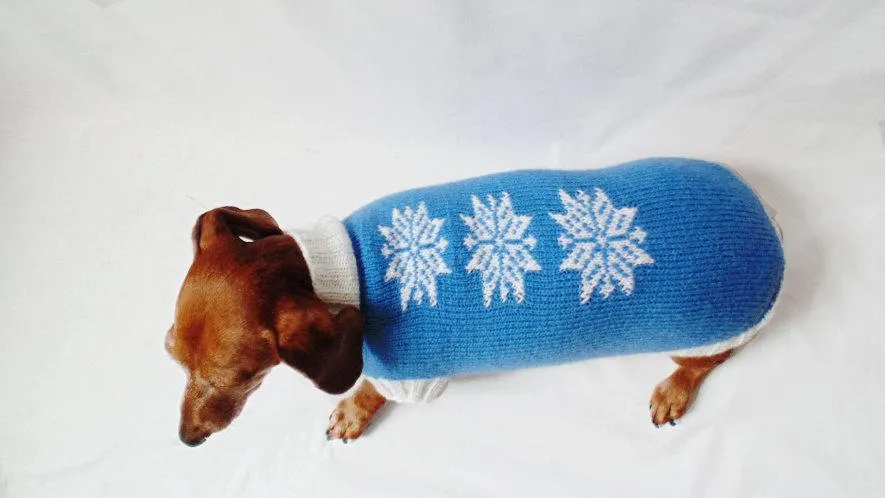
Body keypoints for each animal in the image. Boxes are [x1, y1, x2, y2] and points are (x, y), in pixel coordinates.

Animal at [164, 204, 740, 446]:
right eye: (170, 353)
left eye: (238, 376)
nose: (188, 440)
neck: (339, 269)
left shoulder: (411, 373)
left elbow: (373, 388)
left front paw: (352, 411)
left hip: (701, 332)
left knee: (710, 361)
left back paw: (675, 389)